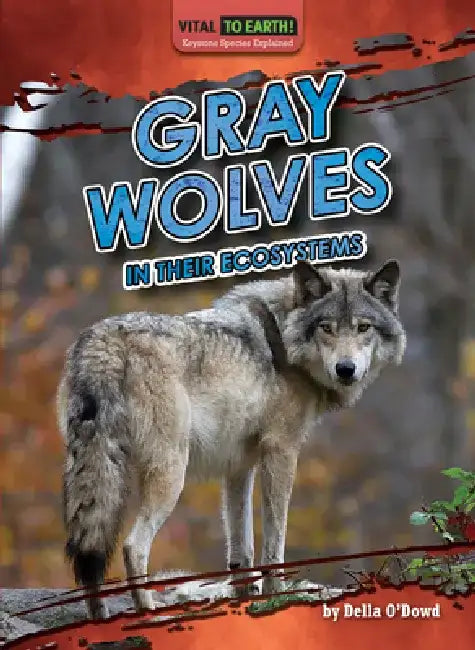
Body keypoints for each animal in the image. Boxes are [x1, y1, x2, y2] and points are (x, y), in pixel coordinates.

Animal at [58, 259, 406, 619]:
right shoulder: (281, 452)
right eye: (327, 327)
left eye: (363, 328)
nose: (345, 369)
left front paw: (244, 601)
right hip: (171, 474)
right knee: (132, 546)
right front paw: (275, 598)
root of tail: (103, 341)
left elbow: (241, 550)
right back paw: (150, 614)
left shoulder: (238, 467)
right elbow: (274, 542)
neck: (284, 340)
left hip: (97, 476)